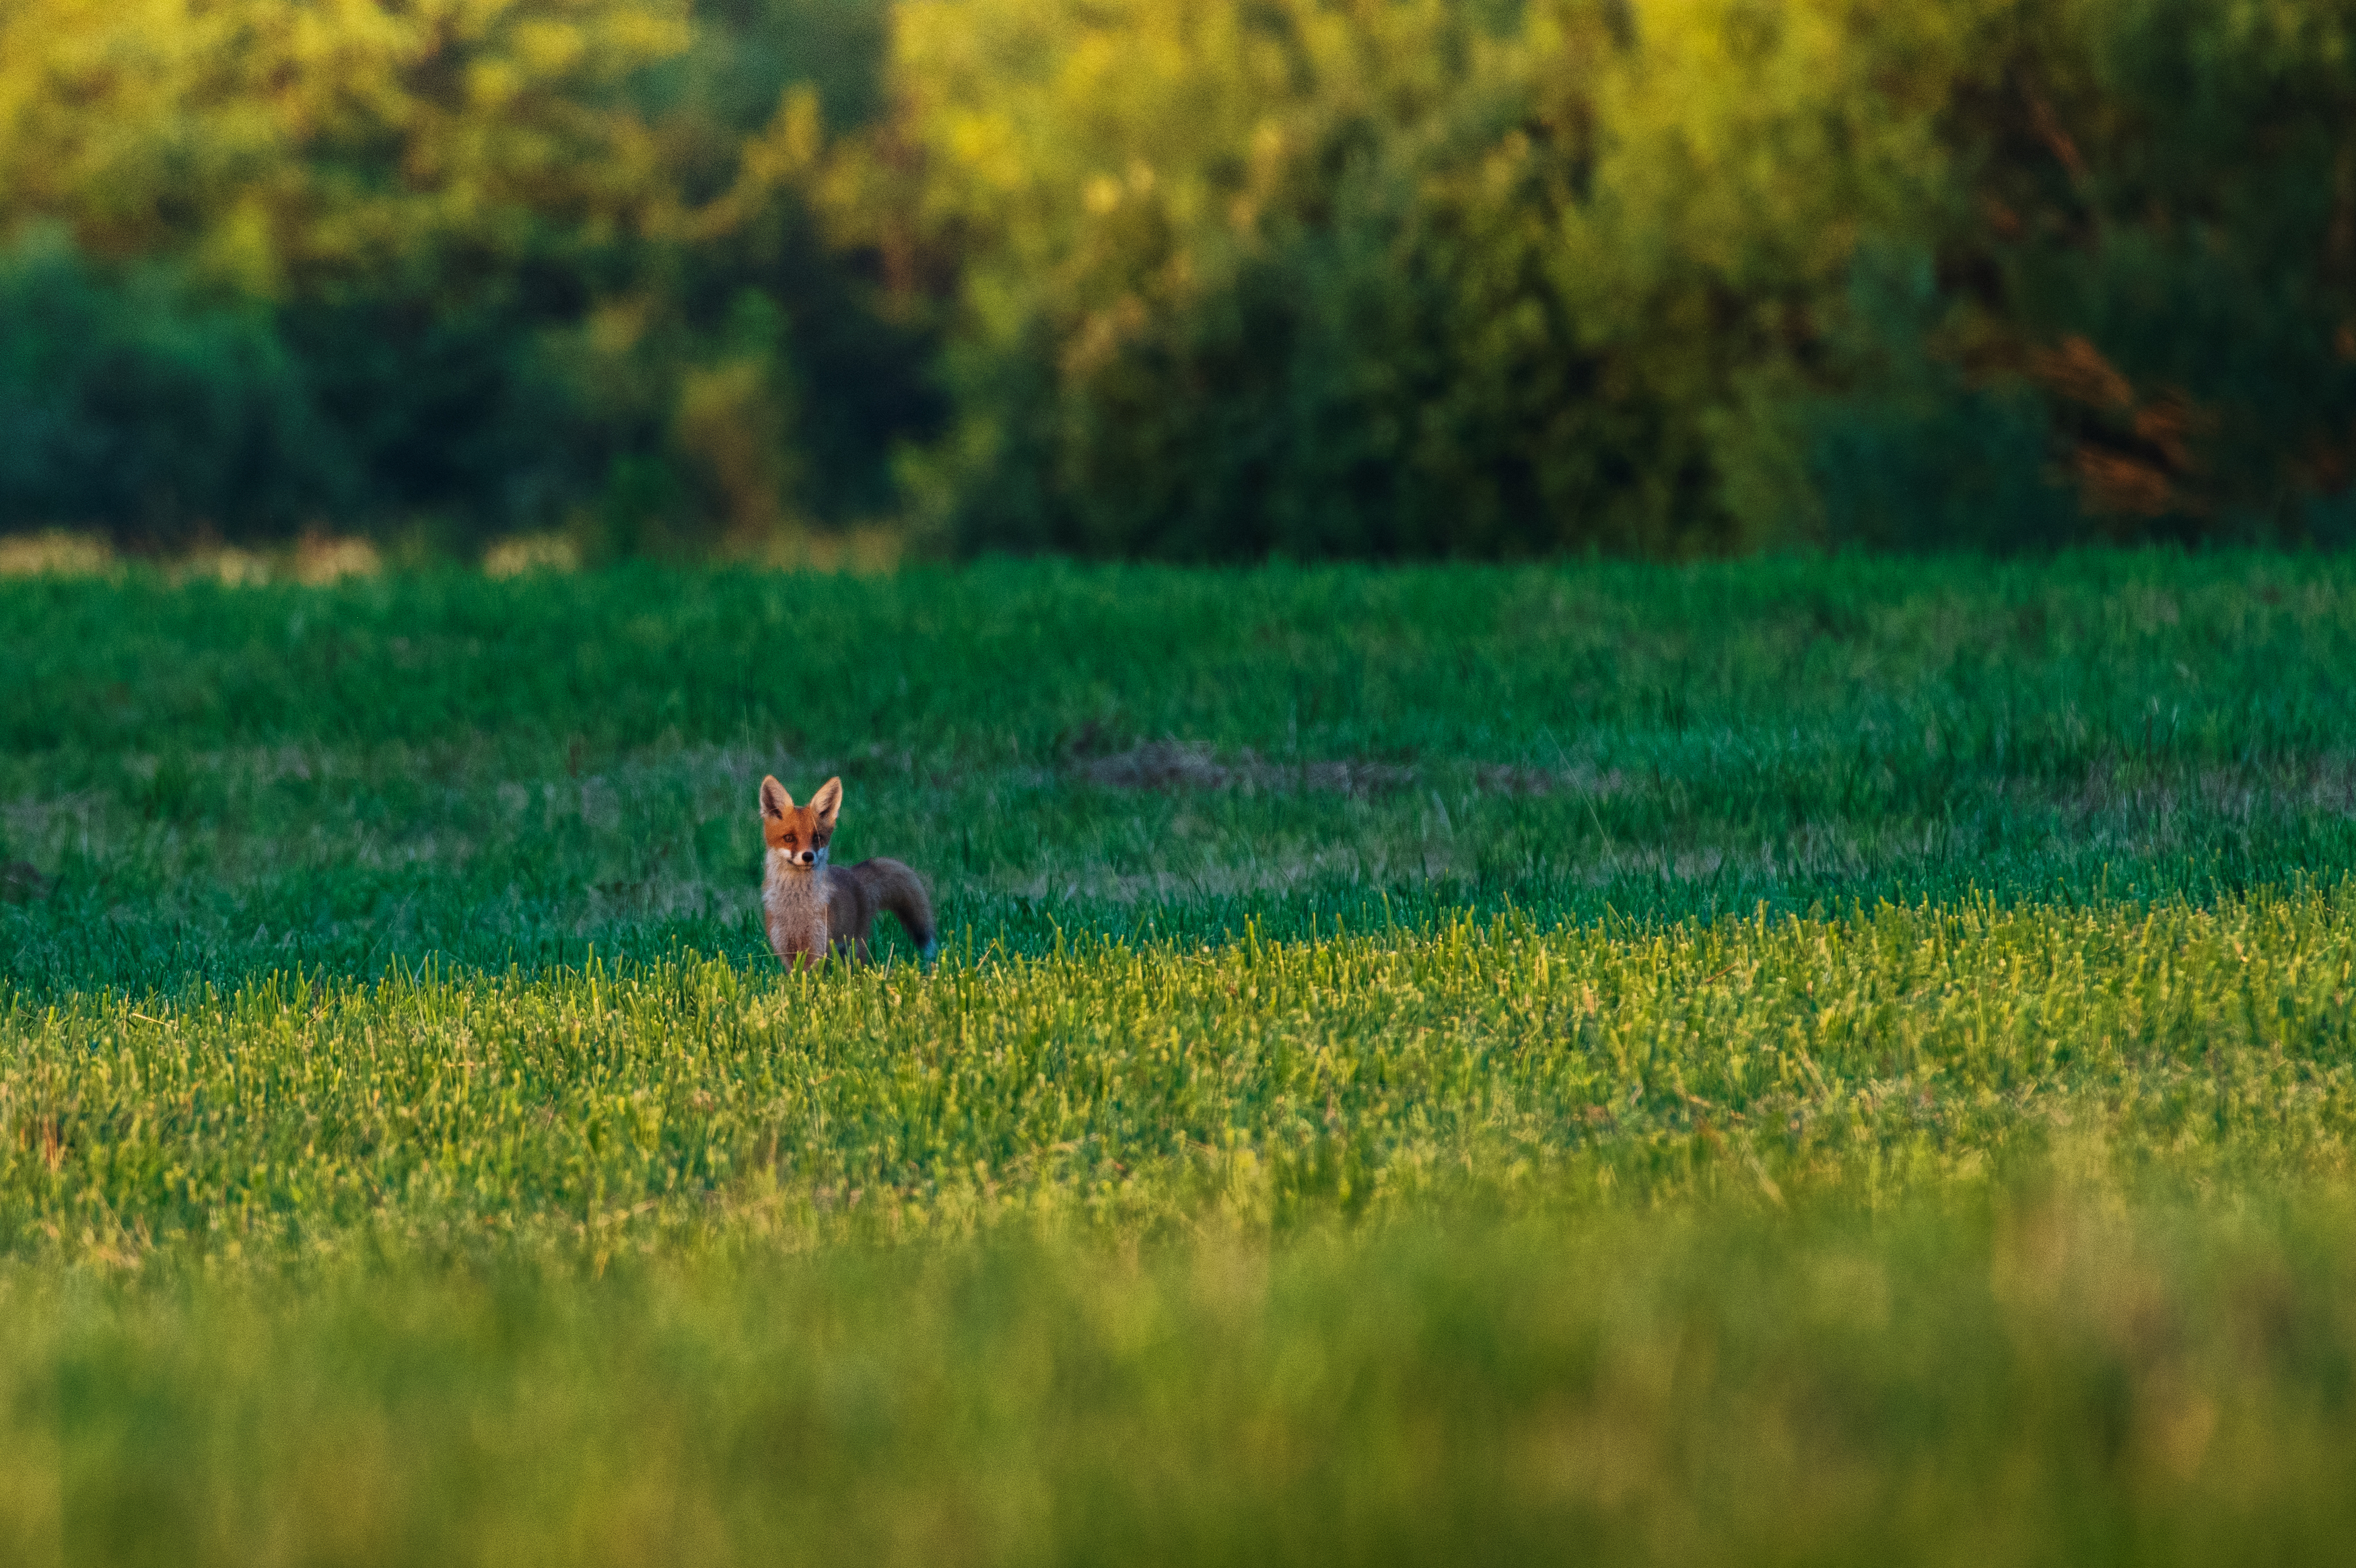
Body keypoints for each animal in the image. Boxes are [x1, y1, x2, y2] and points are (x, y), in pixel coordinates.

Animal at [759, 767, 933, 965]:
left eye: (817, 838)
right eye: (789, 838)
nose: (808, 856)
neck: (797, 910)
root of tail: (853, 872)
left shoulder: (819, 948)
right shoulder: (786, 952)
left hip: (855, 948)